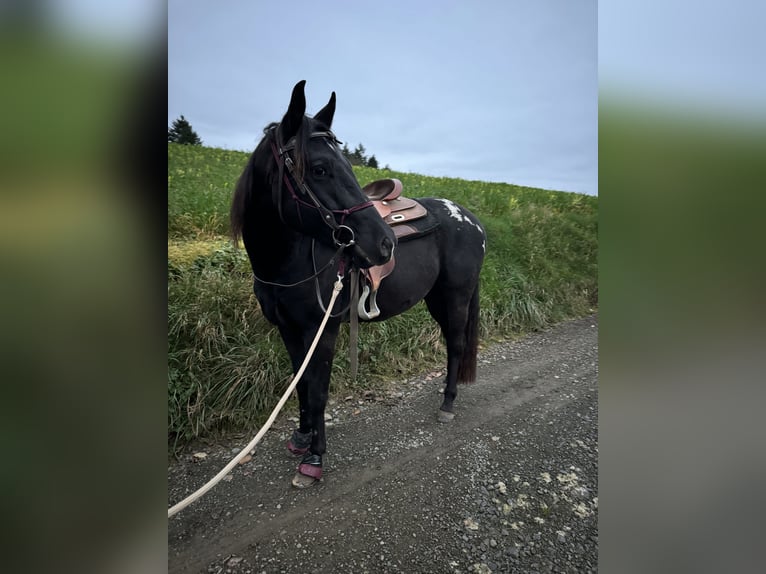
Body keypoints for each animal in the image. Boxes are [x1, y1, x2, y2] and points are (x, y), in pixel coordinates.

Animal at [231, 80, 488, 486]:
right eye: (319, 168)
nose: (385, 243)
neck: (290, 258)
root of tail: (470, 219)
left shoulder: (324, 329)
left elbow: (318, 390)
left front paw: (314, 459)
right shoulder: (289, 329)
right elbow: (300, 383)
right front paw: (301, 437)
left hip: (456, 295)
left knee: (456, 344)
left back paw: (447, 403)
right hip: (435, 298)